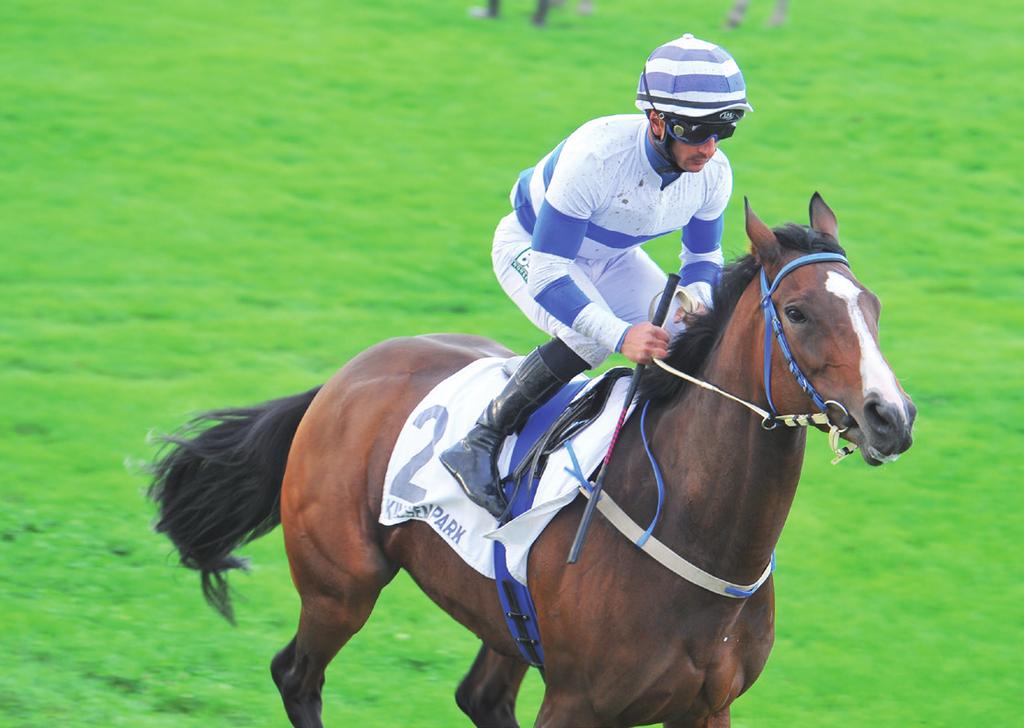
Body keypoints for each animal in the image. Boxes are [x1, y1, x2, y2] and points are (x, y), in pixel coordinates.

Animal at [149, 195, 913, 728]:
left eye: (873, 307)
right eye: (798, 312)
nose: (892, 416)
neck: (694, 526)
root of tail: (344, 375)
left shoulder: (707, 706)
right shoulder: (579, 702)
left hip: (501, 611)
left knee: (479, 696)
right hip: (341, 585)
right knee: (296, 677)